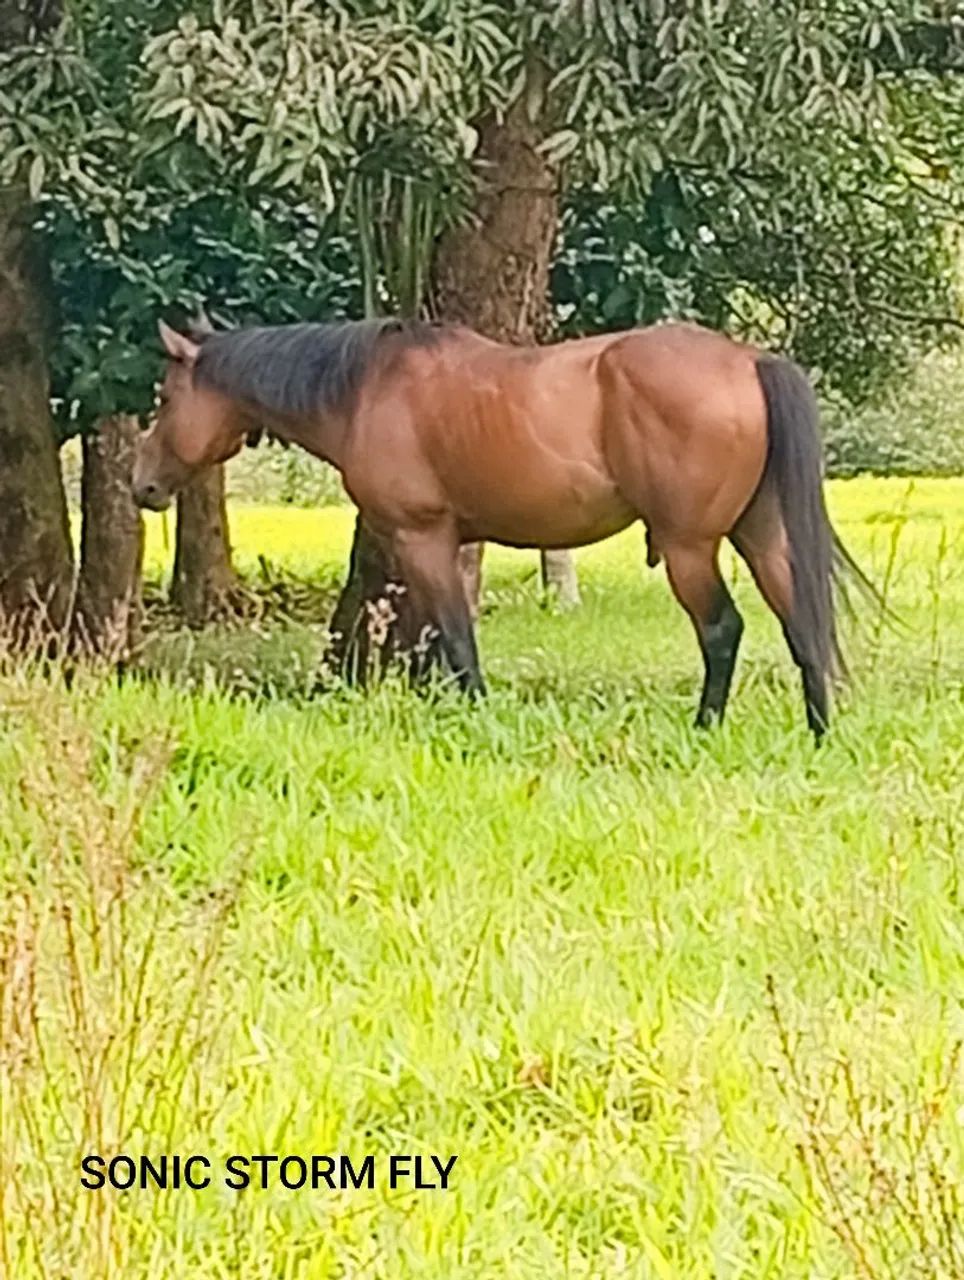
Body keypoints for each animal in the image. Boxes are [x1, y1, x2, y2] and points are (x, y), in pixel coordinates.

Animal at [133, 315, 877, 739]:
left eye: (163, 396)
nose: (142, 484)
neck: (366, 388)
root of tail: (747, 359)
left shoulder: (423, 537)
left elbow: (457, 640)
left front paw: (476, 719)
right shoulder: (452, 545)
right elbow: (433, 640)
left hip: (690, 546)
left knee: (723, 630)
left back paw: (704, 730)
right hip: (762, 533)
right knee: (800, 620)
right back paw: (818, 732)